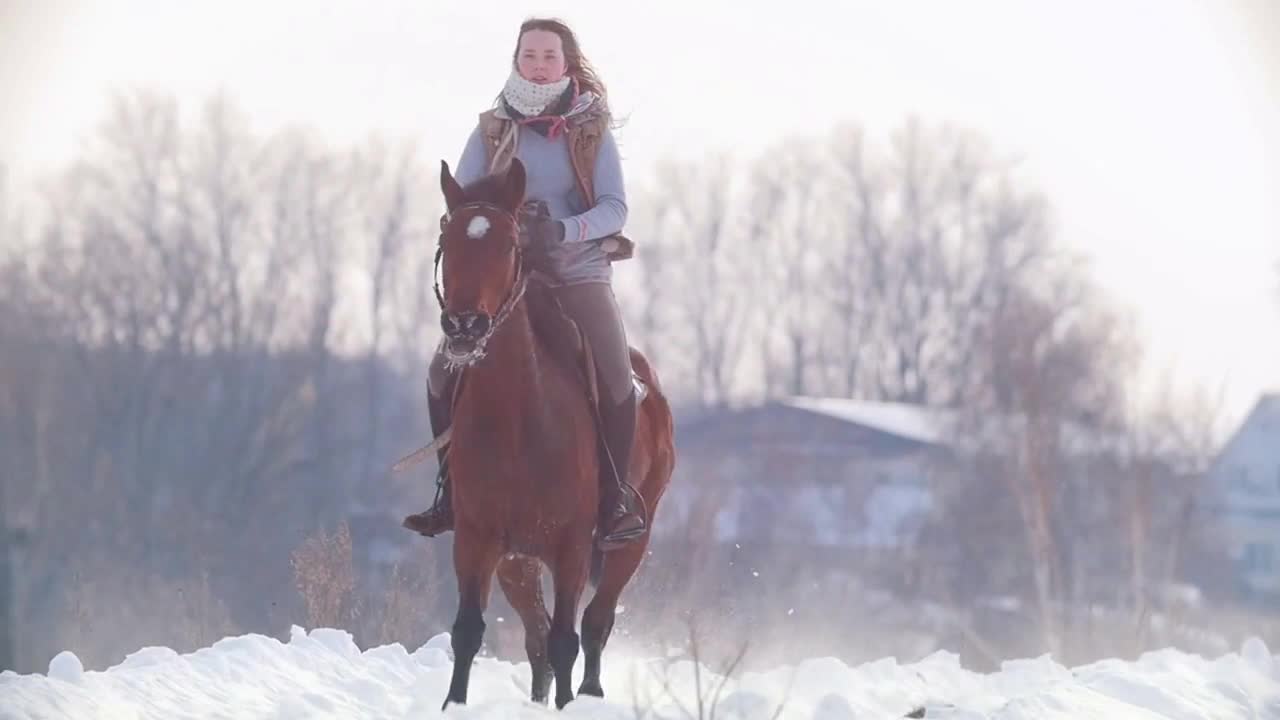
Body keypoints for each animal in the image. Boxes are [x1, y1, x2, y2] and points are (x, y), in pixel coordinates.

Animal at [430, 156, 675, 707]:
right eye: (447, 240)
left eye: (508, 243)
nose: (464, 326)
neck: (518, 417)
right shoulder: (476, 539)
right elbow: (468, 631)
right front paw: (453, 704)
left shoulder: (571, 547)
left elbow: (568, 637)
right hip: (516, 562)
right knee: (537, 633)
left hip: (630, 544)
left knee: (594, 624)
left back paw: (589, 695)